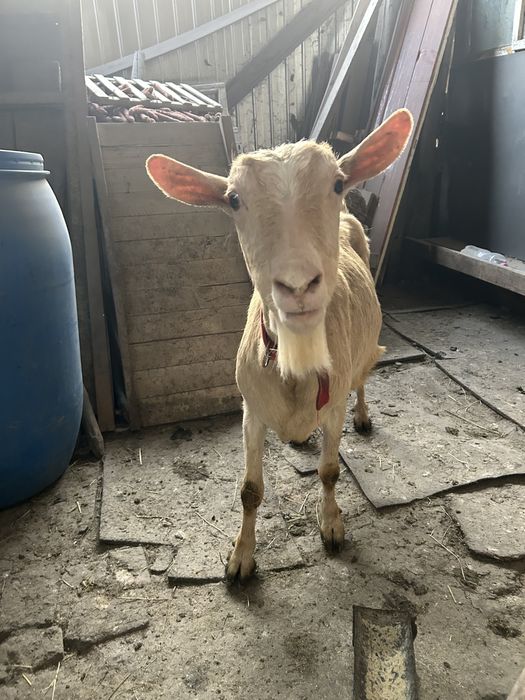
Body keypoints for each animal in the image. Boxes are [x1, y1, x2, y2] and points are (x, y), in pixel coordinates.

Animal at [146, 109, 413, 581]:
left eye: (337, 183)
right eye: (234, 199)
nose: (298, 285)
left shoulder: (333, 405)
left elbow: (329, 471)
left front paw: (332, 527)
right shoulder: (251, 411)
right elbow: (250, 490)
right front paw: (240, 559)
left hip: (365, 353)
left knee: (364, 377)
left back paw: (364, 417)